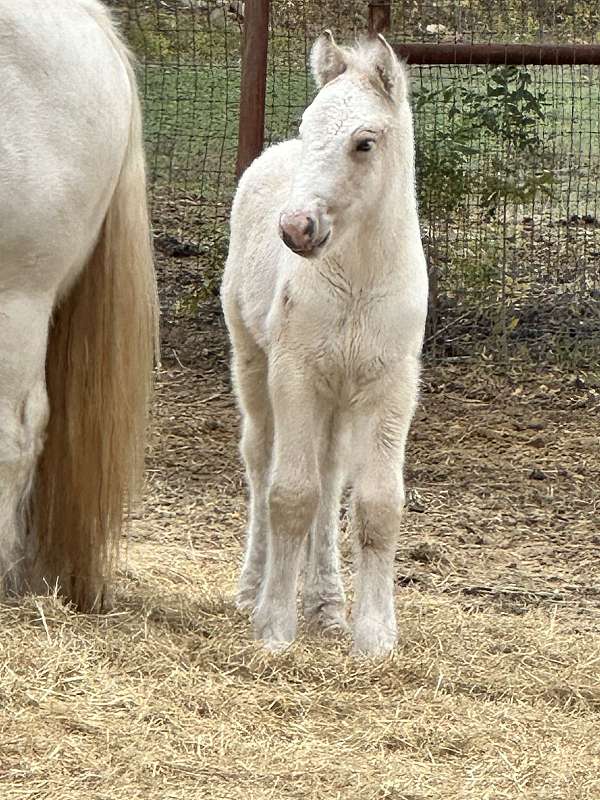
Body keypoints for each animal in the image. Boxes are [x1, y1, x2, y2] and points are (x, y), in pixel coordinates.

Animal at [220, 32, 426, 656]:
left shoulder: (391, 387)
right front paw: (273, 627)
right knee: (261, 462)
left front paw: (374, 636)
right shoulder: (295, 374)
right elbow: (290, 494)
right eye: (308, 125)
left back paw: (327, 605)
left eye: (365, 142)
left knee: (331, 474)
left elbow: (377, 504)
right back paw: (253, 589)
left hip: (340, 395)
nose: (295, 228)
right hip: (252, 362)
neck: (358, 281)